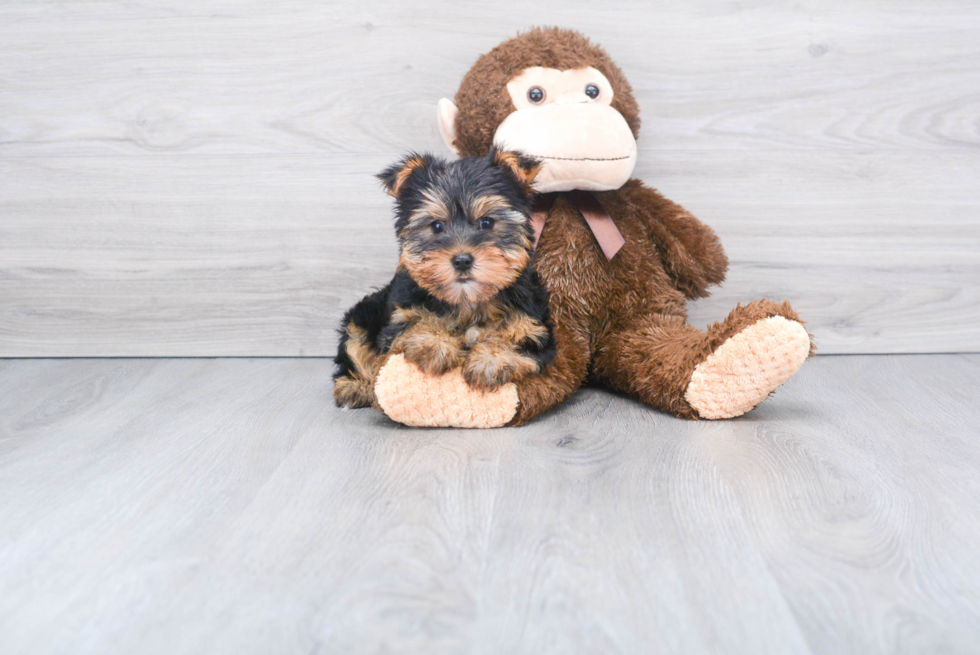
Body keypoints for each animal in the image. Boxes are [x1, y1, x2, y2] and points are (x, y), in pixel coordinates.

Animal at [334, 147, 556, 410]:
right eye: (437, 226)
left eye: (487, 222)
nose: (462, 260)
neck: (466, 300)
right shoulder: (399, 316)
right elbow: (416, 321)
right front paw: (435, 344)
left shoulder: (534, 328)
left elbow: (518, 342)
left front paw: (490, 360)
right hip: (362, 315)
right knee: (353, 349)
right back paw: (355, 387)